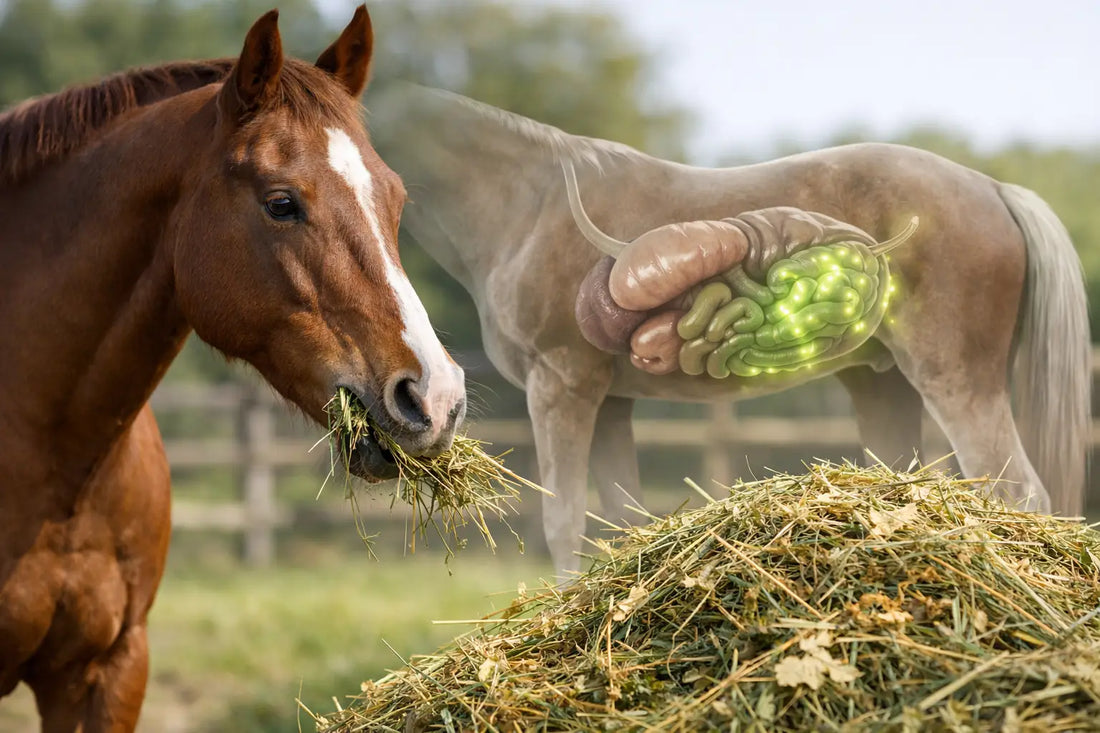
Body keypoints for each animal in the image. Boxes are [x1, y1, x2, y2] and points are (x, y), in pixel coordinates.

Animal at [367, 83, 1089, 575]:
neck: (527, 204)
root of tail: (995, 189)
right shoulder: (611, 401)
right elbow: (621, 519)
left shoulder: (561, 386)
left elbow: (564, 521)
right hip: (884, 386)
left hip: (954, 382)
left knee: (1017, 490)